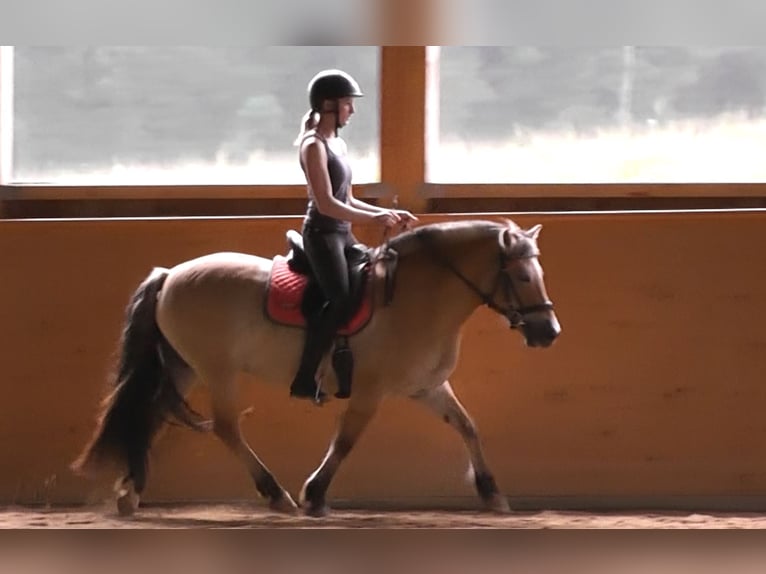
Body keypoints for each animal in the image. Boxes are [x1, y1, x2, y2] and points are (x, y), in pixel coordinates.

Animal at [72, 218, 564, 520]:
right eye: (523, 277)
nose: (549, 331)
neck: (416, 298)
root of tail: (170, 275)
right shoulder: (369, 392)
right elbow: (345, 442)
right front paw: (315, 495)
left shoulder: (427, 387)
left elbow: (467, 426)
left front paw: (492, 492)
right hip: (217, 370)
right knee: (226, 428)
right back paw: (277, 495)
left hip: (183, 366)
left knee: (150, 415)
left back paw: (131, 492)